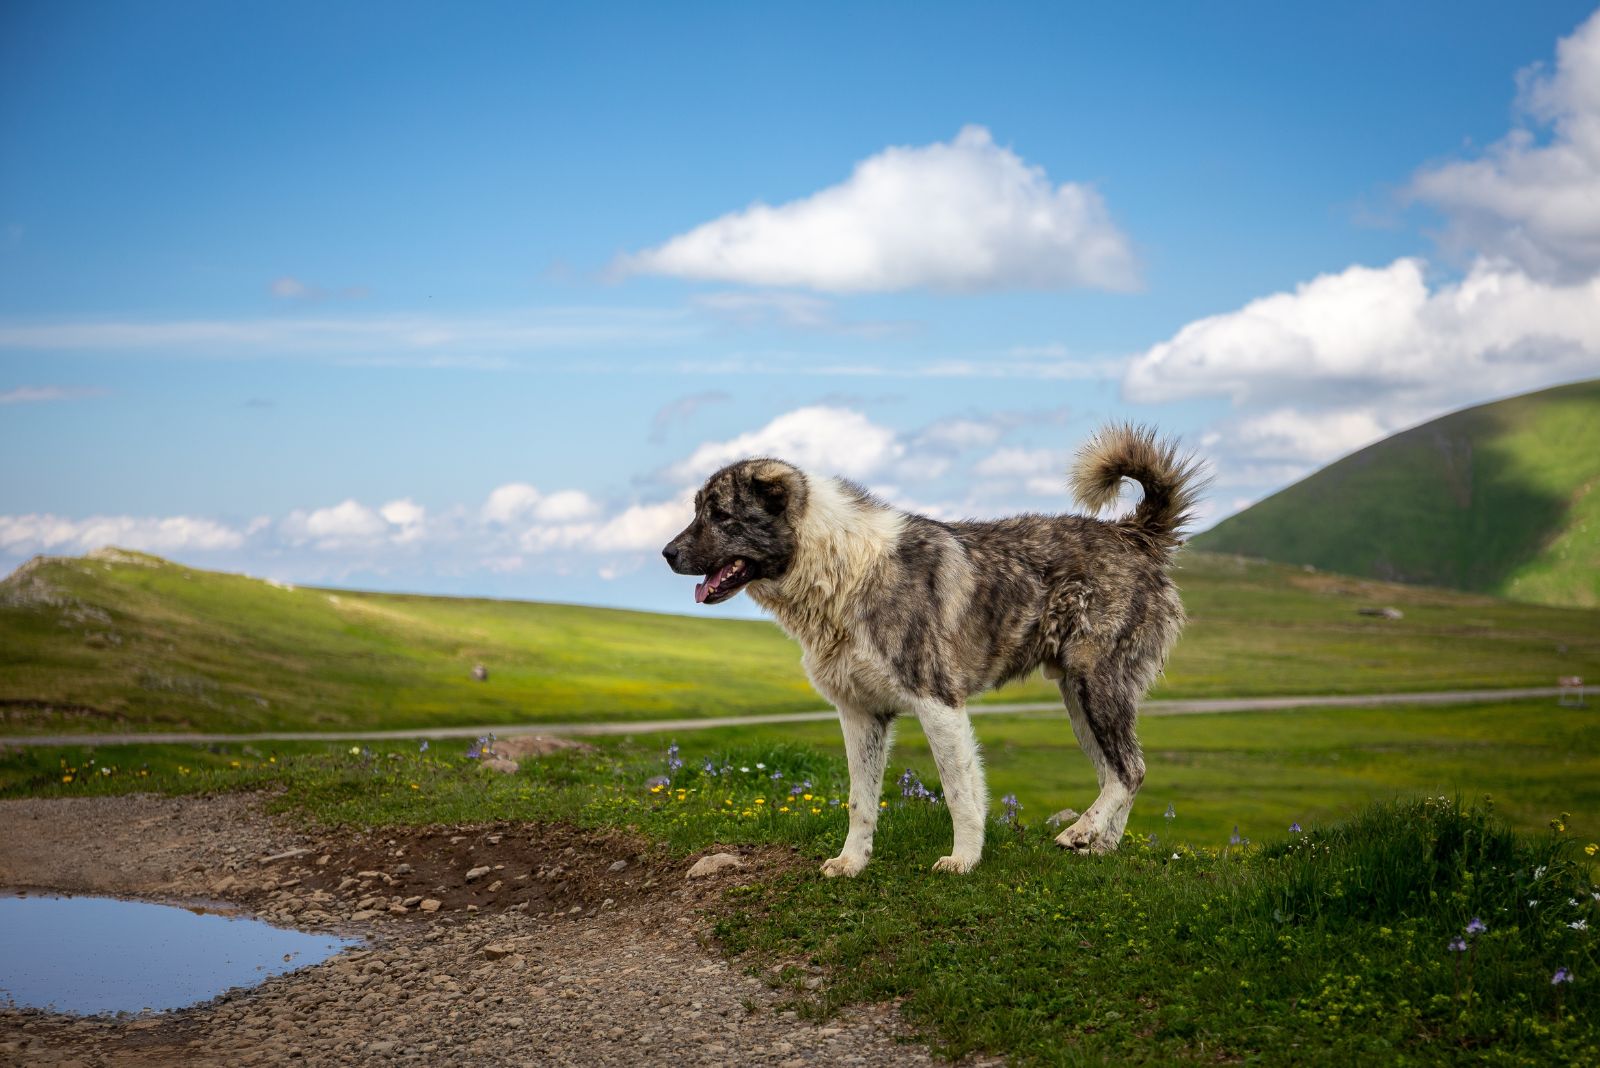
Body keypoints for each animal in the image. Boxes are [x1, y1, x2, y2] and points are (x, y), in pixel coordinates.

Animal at [662, 425, 1203, 876]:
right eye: (698, 511)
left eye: (721, 515)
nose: (667, 553)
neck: (841, 568)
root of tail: (1132, 534)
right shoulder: (859, 713)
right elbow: (860, 801)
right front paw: (852, 863)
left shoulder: (938, 703)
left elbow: (959, 792)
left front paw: (963, 860)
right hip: (1077, 698)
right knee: (1119, 771)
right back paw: (1101, 846)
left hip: (1096, 685)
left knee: (1129, 770)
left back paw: (1081, 832)